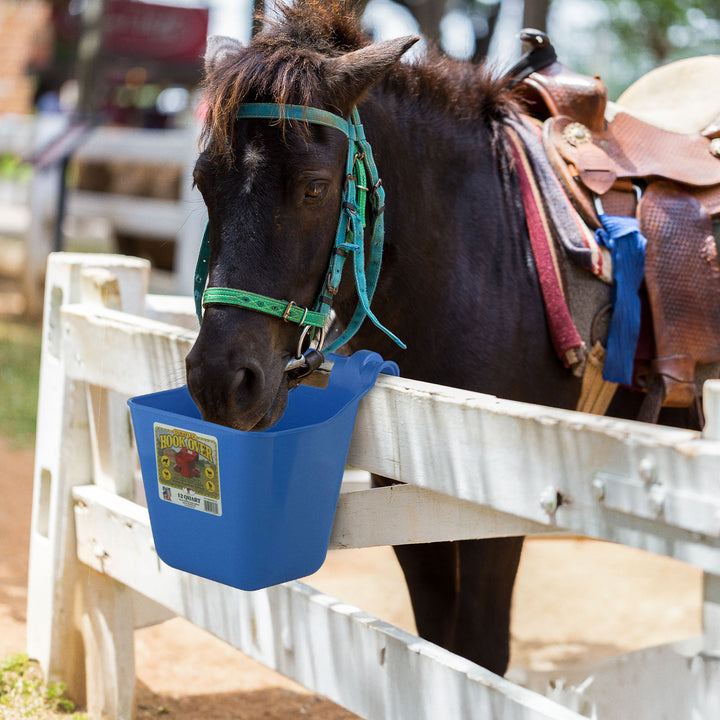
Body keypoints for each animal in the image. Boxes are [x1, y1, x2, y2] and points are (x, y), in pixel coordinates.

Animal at [186, 0, 716, 676]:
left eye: (314, 186)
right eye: (203, 182)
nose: (220, 380)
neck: (487, 252)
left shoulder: (499, 510)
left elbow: (481, 654)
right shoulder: (405, 494)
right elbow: (439, 645)